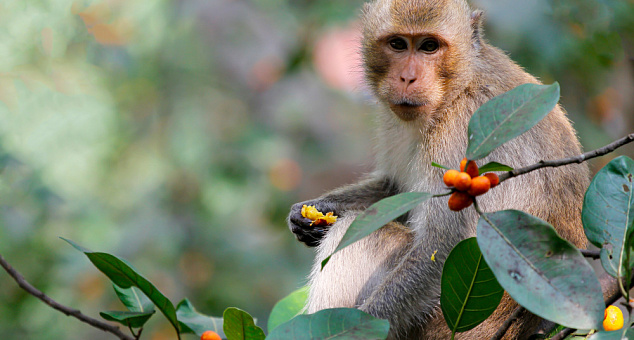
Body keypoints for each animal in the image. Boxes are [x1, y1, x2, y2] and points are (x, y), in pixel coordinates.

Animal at [286, 1, 588, 338]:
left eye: (429, 46)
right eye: (398, 44)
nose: (407, 78)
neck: (456, 89)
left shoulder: (459, 136)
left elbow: (441, 248)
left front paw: (361, 326)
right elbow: (396, 190)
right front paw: (310, 213)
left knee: (363, 234)